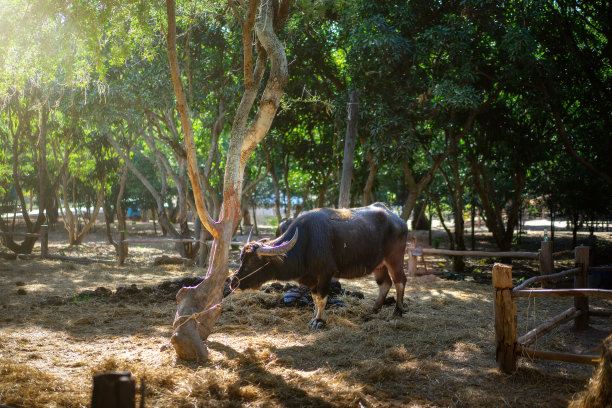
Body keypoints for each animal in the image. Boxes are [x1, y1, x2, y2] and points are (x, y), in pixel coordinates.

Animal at [233, 202, 406, 330]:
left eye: (252, 262)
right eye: (241, 259)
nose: (233, 282)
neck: (305, 242)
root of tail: (398, 220)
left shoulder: (325, 274)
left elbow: (322, 298)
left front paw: (319, 321)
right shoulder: (311, 278)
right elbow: (315, 299)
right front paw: (314, 317)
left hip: (395, 259)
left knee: (400, 281)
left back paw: (398, 311)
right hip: (379, 265)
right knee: (385, 284)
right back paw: (373, 310)